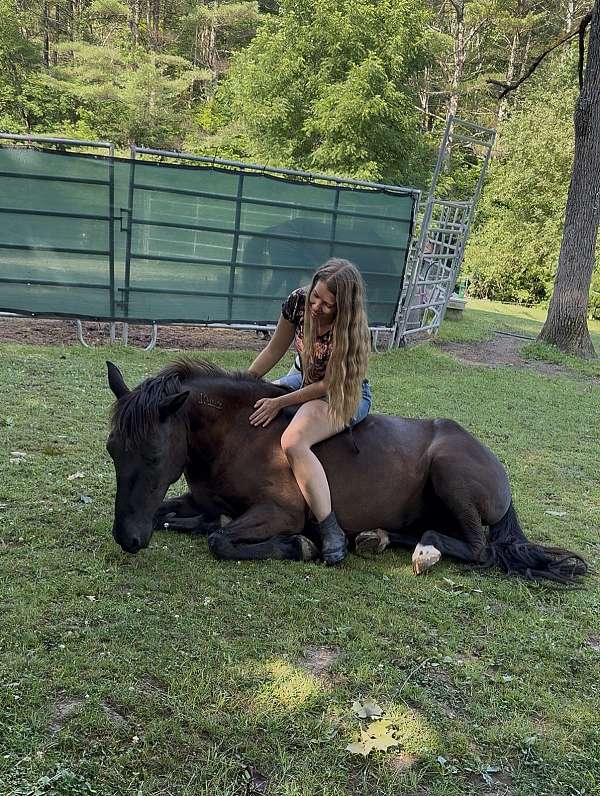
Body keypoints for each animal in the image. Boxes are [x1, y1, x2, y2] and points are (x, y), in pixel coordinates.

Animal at [105, 358, 587, 585]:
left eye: (152, 456)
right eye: (112, 451)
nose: (127, 539)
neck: (239, 432)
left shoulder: (281, 511)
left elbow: (220, 540)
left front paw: (299, 546)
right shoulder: (197, 498)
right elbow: (173, 514)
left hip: (449, 473)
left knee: (479, 549)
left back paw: (421, 551)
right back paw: (378, 538)